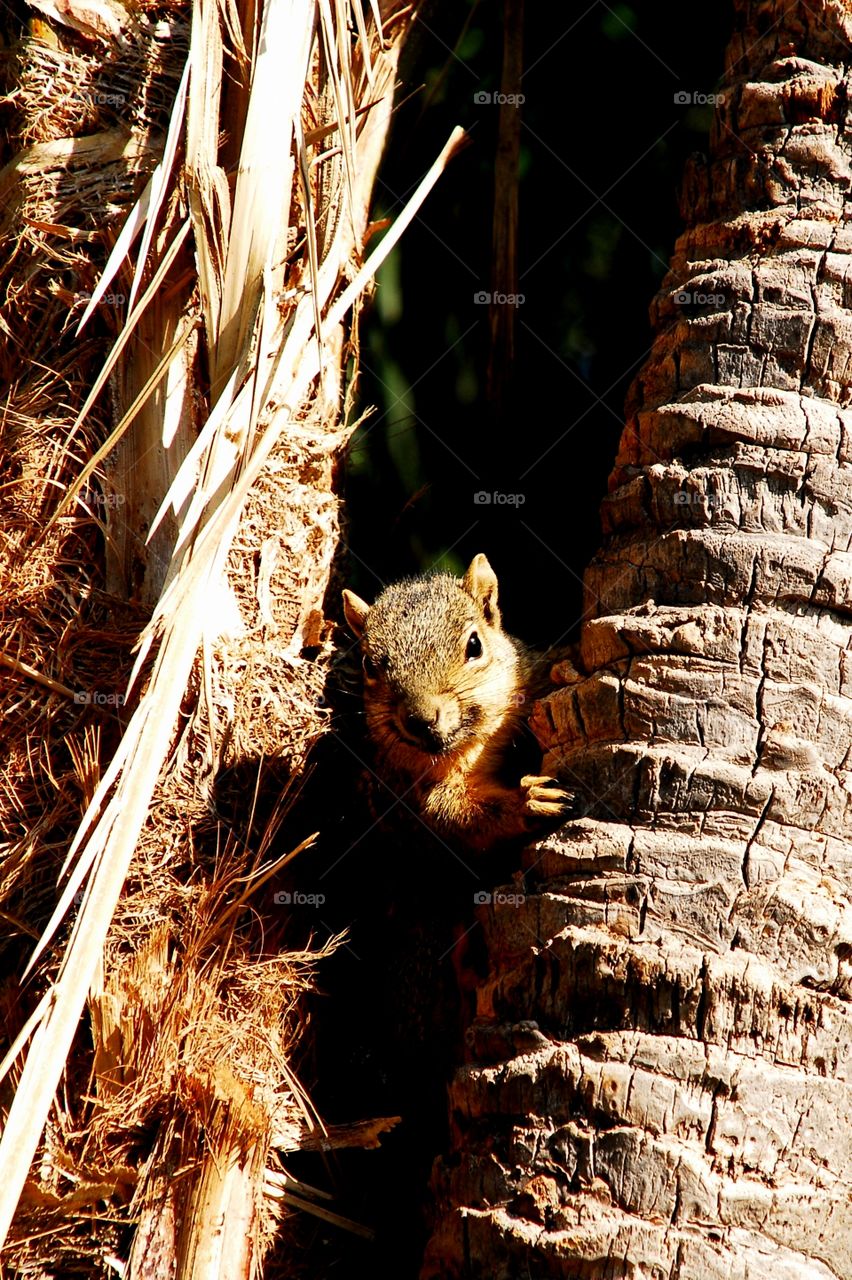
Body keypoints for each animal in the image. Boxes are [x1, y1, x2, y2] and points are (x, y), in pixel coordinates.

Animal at [342, 553, 575, 851]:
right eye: (368, 666)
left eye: (475, 645)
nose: (420, 719)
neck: (476, 743)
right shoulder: (412, 789)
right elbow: (456, 815)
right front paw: (528, 801)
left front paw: (565, 668)